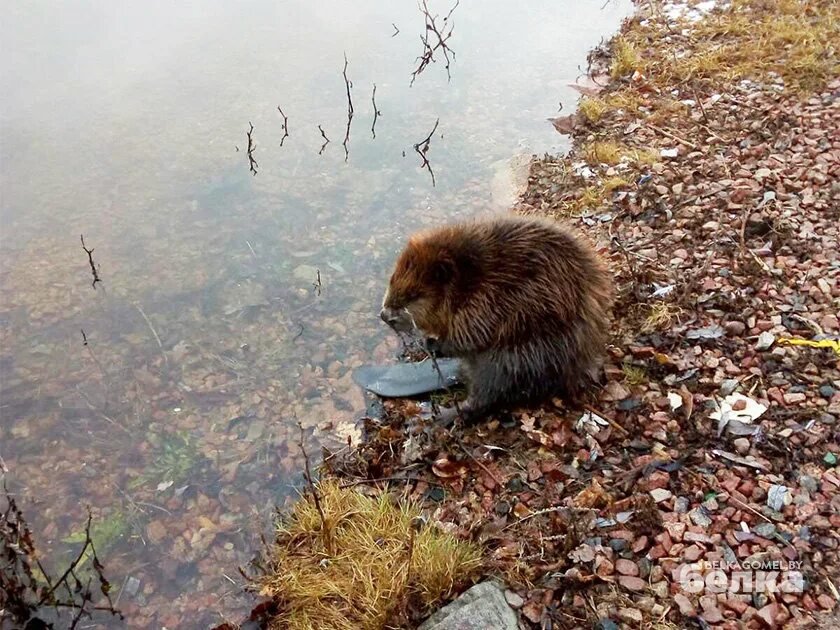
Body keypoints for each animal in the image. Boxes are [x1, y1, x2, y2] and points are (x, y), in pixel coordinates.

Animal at [378, 215, 612, 422]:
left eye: (414, 295)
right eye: (391, 279)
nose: (384, 315)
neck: (469, 279)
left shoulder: (487, 299)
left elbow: (471, 334)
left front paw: (433, 343)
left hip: (511, 361)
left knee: (485, 398)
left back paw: (437, 416)